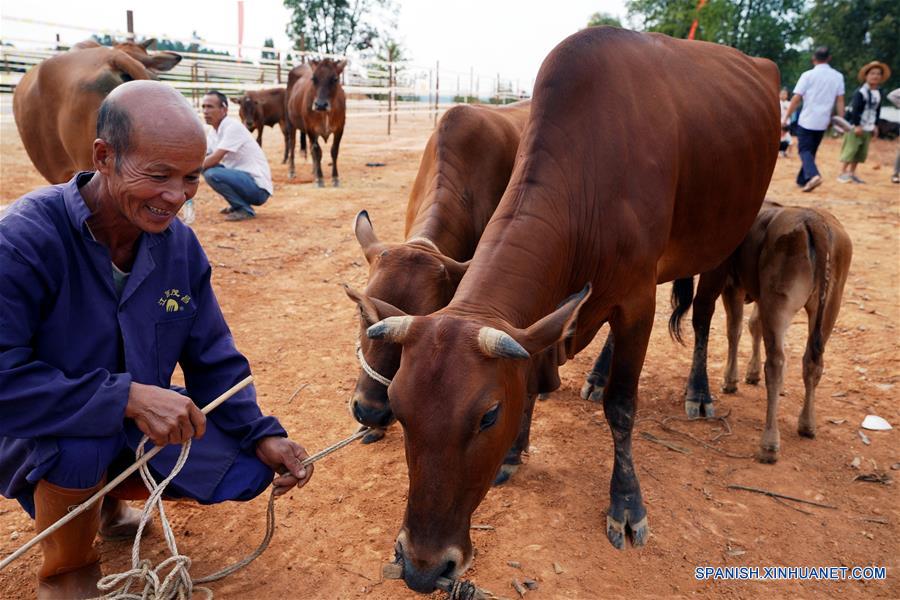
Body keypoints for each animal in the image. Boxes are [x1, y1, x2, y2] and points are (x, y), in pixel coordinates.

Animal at [356, 27, 776, 592]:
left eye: (488, 415)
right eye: (401, 408)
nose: (422, 568)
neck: (589, 184)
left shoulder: (637, 299)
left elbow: (622, 407)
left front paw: (627, 505)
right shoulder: (543, 317)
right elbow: (532, 375)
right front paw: (516, 452)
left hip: (721, 243)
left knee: (706, 317)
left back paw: (700, 392)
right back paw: (597, 375)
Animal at [676, 203, 852, 464]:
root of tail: (815, 222)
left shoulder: (733, 287)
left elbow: (735, 329)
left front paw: (731, 380)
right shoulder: (757, 296)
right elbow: (753, 325)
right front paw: (751, 373)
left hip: (778, 304)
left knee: (776, 362)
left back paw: (769, 444)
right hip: (830, 306)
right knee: (813, 361)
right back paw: (807, 424)